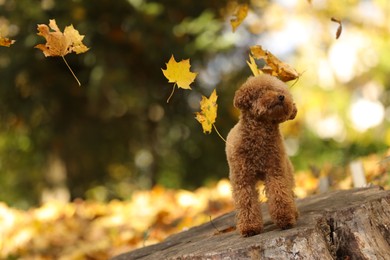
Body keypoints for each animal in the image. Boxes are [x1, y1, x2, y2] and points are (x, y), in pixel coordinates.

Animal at [225, 74, 298, 237]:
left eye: (280, 90)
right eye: (262, 91)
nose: (281, 97)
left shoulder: (275, 171)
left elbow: (279, 194)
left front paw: (285, 219)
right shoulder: (242, 179)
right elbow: (246, 202)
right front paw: (250, 227)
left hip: (287, 169)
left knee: (289, 191)